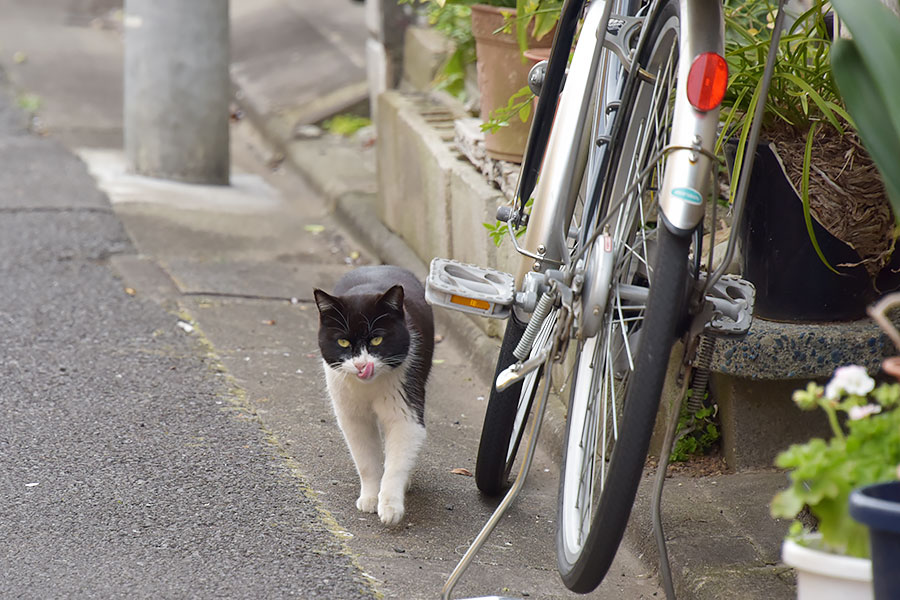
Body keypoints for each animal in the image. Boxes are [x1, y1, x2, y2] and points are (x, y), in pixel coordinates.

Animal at [312, 268, 432, 524]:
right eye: (343, 341)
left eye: (377, 339)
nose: (361, 365)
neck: (368, 387)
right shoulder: (352, 417)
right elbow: (366, 460)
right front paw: (369, 497)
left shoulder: (405, 404)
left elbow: (396, 462)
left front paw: (390, 507)